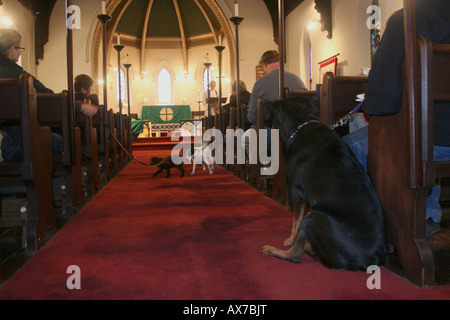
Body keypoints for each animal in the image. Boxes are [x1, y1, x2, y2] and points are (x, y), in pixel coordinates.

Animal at [260, 97, 386, 270]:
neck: (300, 123)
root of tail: (371, 259)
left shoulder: (296, 191)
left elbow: (295, 221)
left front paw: (290, 239)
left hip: (312, 217)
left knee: (295, 256)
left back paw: (273, 249)